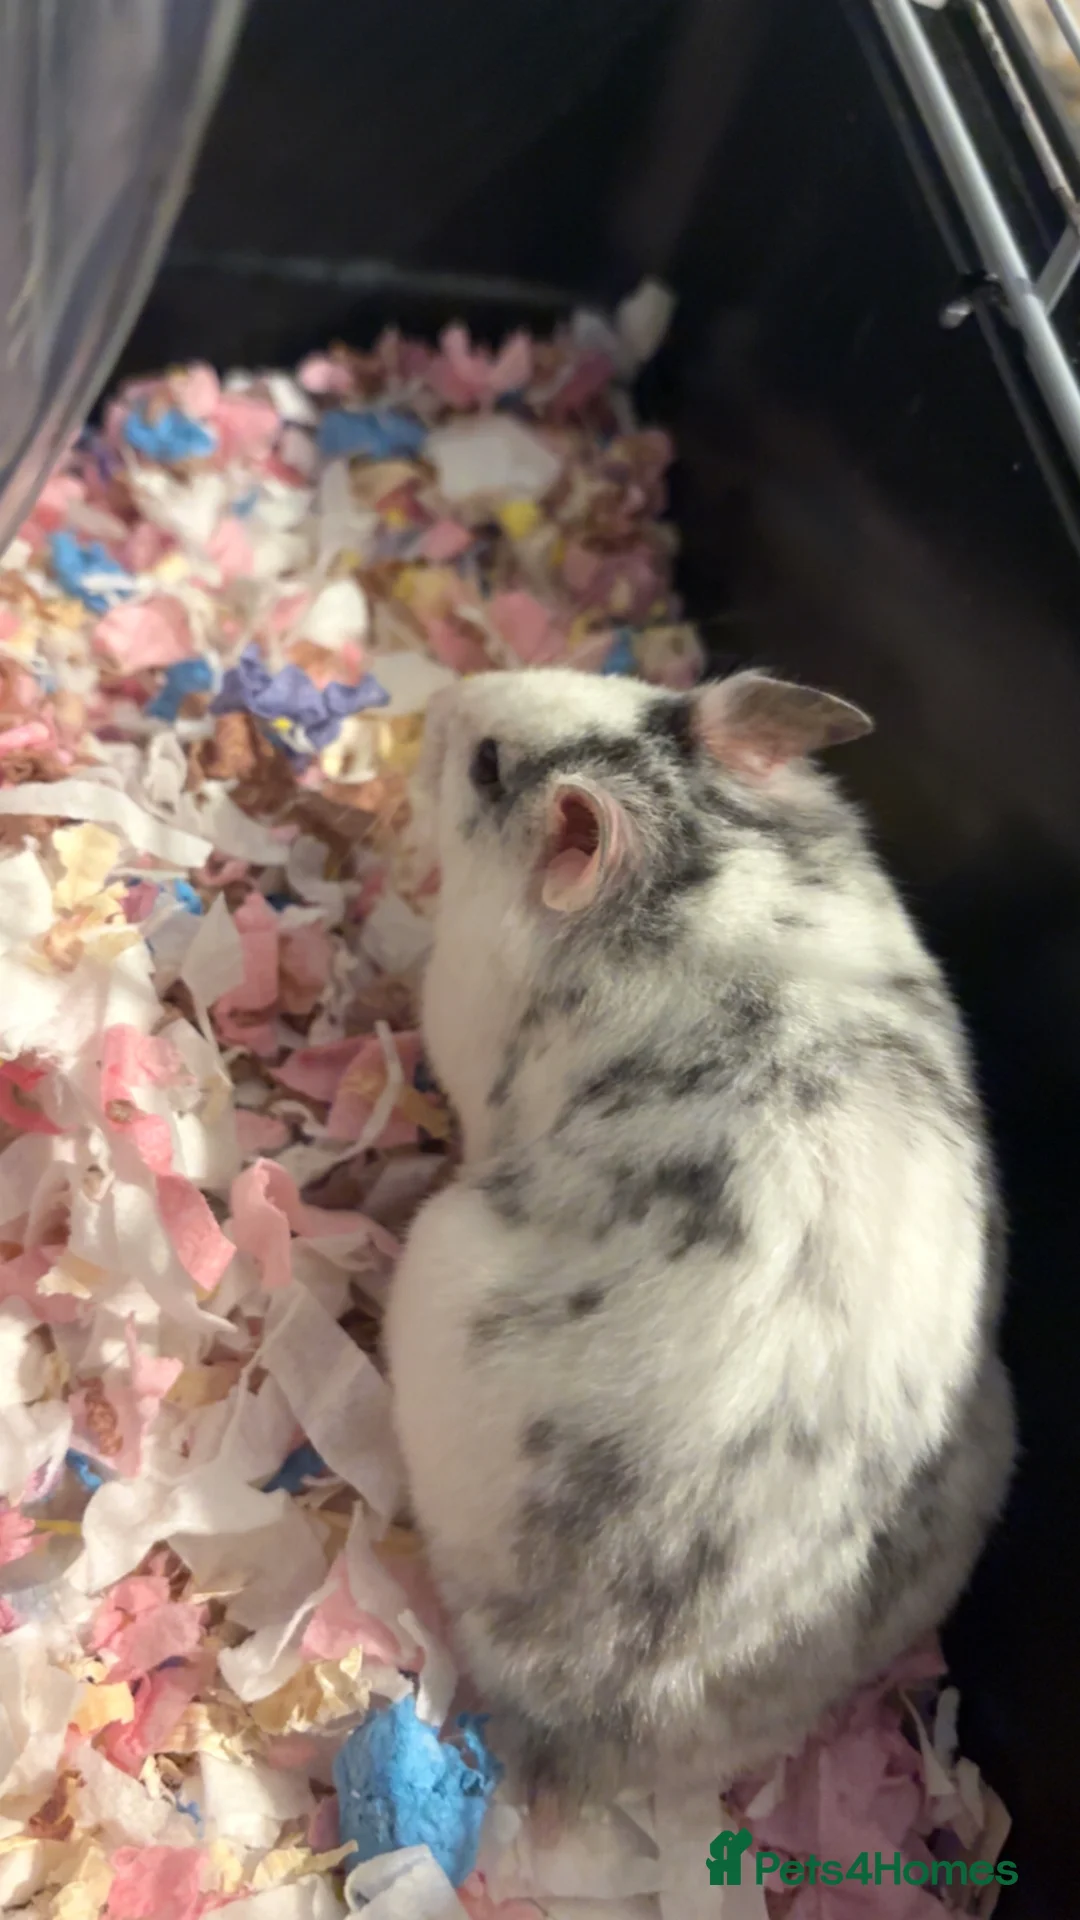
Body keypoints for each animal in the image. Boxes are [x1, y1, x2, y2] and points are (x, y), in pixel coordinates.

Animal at [384, 665, 1016, 1810]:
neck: (695, 849)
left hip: (437, 1264)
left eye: (488, 764)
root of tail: (600, 1707)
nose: (446, 699)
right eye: (623, 678)